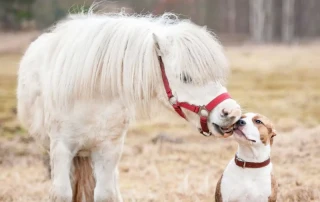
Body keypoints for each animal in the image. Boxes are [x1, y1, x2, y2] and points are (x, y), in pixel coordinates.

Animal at [15, 6, 240, 202]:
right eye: (186, 77)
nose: (232, 112)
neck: (91, 97)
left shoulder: (108, 150)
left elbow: (105, 194)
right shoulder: (61, 148)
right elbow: (62, 193)